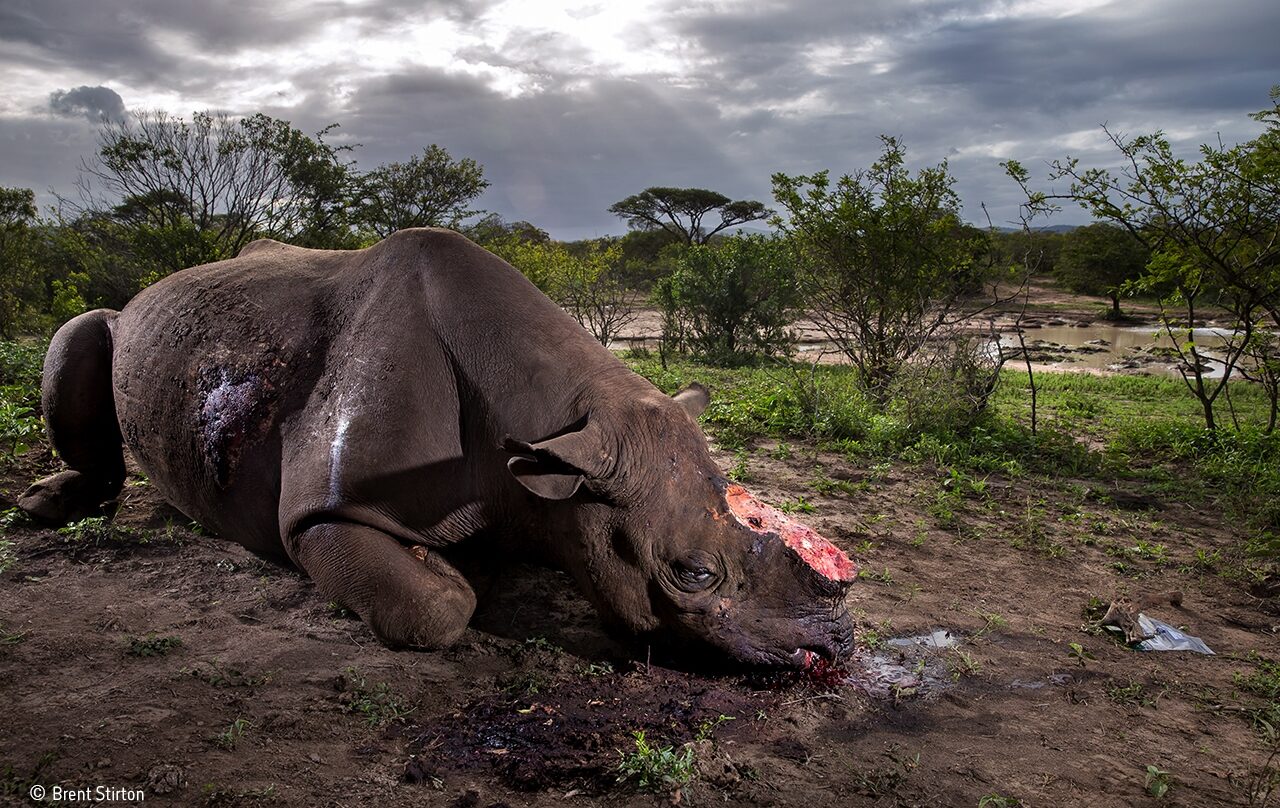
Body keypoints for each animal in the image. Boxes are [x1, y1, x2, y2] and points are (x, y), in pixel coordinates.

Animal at [20, 229, 855, 670]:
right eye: (691, 574)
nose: (834, 647)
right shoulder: (323, 512)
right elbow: (435, 608)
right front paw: (454, 573)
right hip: (128, 325)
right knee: (82, 331)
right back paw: (45, 507)